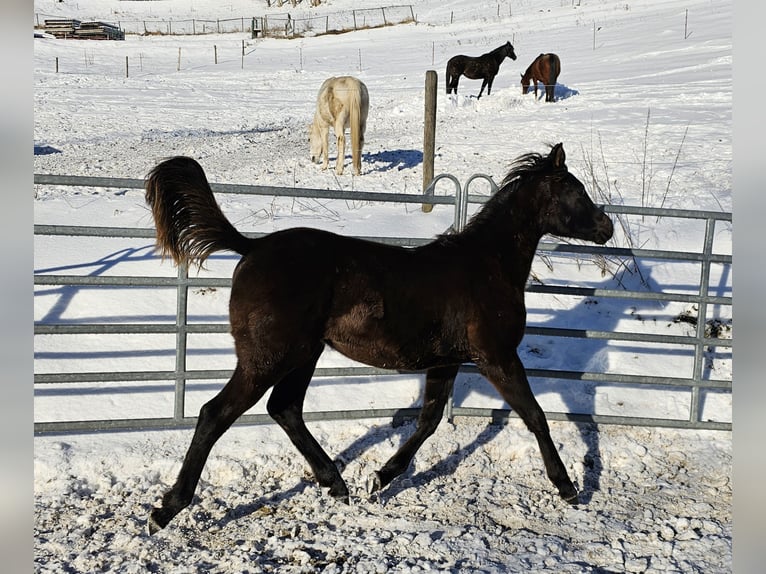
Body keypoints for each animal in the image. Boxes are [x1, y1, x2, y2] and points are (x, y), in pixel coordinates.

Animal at [144, 143, 614, 533]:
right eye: (575, 190)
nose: (606, 227)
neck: (487, 266)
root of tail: (252, 248)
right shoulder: (497, 356)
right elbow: (535, 415)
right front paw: (568, 488)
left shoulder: (446, 361)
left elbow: (428, 420)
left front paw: (381, 477)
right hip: (268, 357)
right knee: (215, 413)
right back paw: (165, 510)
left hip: (304, 354)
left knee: (285, 409)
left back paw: (337, 485)